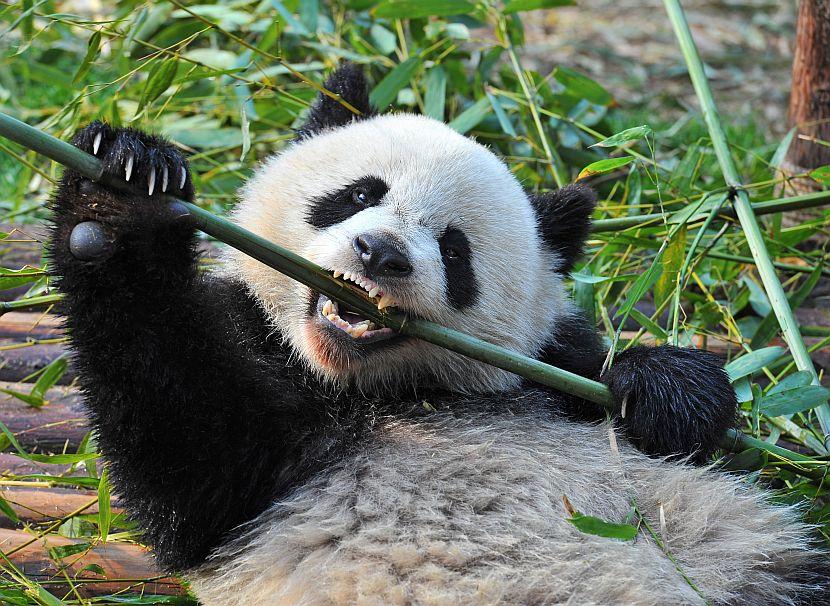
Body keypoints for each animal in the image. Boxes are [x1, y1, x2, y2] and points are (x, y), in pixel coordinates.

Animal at [48, 64, 828, 604]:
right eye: (358, 195)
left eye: (455, 251)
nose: (380, 254)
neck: (373, 392)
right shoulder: (247, 443)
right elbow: (185, 444)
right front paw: (122, 193)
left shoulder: (548, 370)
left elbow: (656, 406)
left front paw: (665, 392)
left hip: (753, 561)